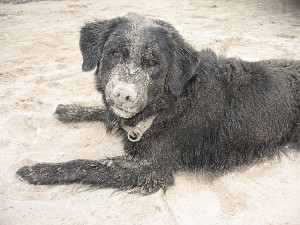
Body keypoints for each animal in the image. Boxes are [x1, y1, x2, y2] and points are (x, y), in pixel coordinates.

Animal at [17, 13, 300, 194]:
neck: (172, 102)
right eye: (115, 53)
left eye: (153, 62)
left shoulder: (147, 169)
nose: (123, 95)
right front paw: (70, 109)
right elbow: (104, 113)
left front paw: (38, 170)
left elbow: (86, 165)